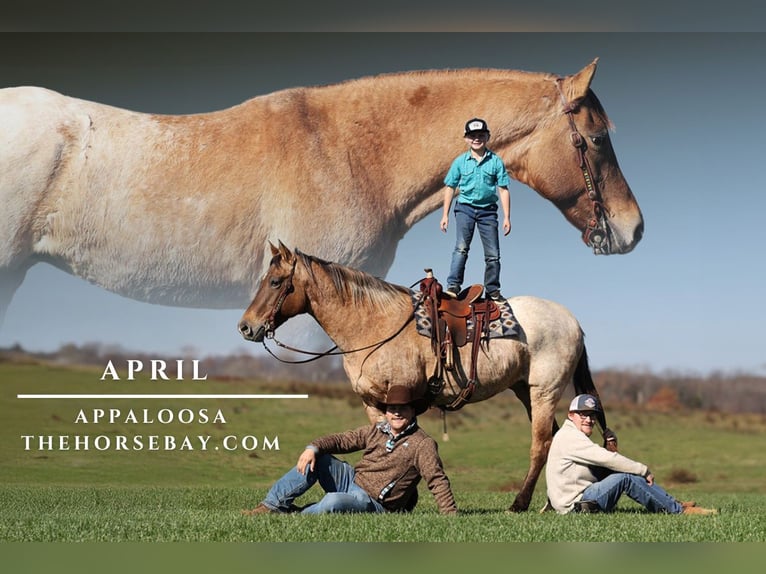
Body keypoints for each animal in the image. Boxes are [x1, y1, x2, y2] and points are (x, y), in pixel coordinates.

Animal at [237, 243, 616, 512]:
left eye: (275, 282)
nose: (246, 327)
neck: (375, 325)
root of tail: (572, 321)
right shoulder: (373, 403)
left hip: (544, 391)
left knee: (541, 444)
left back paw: (519, 504)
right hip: (525, 390)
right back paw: (548, 503)